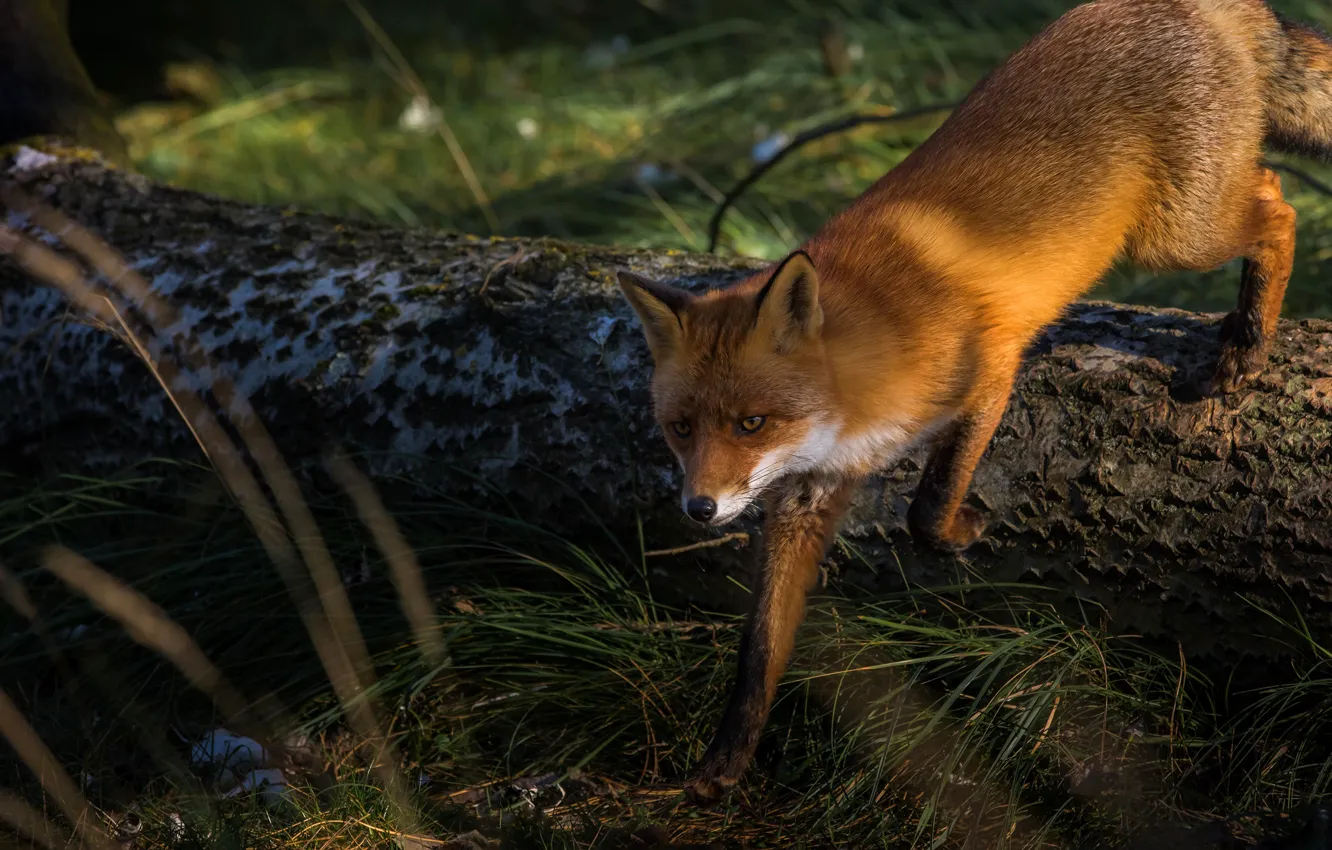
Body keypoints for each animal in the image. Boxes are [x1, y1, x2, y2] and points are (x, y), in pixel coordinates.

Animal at [617, 0, 1331, 803]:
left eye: (750, 423)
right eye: (680, 429)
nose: (699, 509)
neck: (863, 371)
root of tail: (1204, 9)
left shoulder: (989, 367)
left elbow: (928, 504)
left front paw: (963, 532)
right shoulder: (808, 495)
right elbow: (762, 646)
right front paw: (726, 759)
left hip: (1175, 236)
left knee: (1279, 206)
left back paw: (1248, 342)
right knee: (1272, 193)